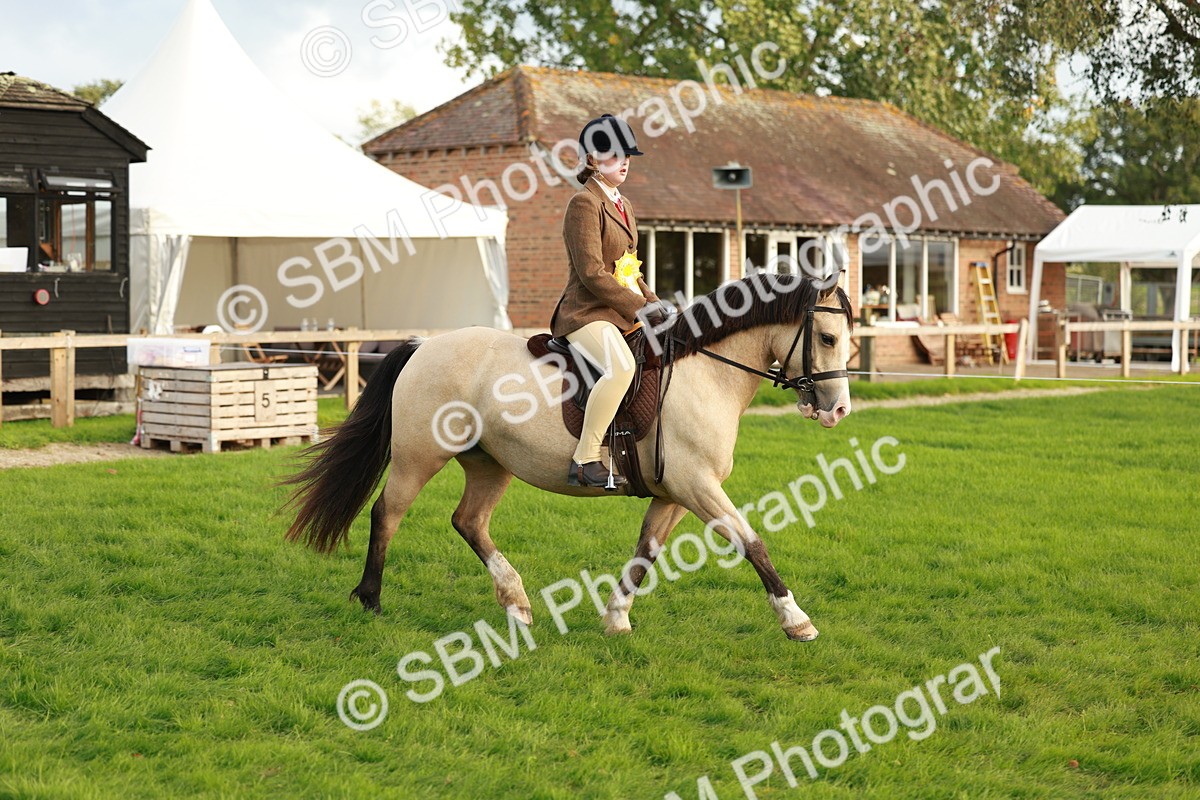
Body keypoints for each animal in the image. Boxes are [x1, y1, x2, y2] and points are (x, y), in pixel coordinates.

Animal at [283, 275, 854, 641]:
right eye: (827, 337)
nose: (839, 410)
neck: (703, 372)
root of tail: (424, 345)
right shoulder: (697, 486)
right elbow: (753, 543)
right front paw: (796, 620)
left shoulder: (676, 493)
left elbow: (645, 552)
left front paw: (616, 619)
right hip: (418, 457)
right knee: (387, 514)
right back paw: (371, 599)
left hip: (490, 464)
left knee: (469, 521)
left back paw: (517, 604)